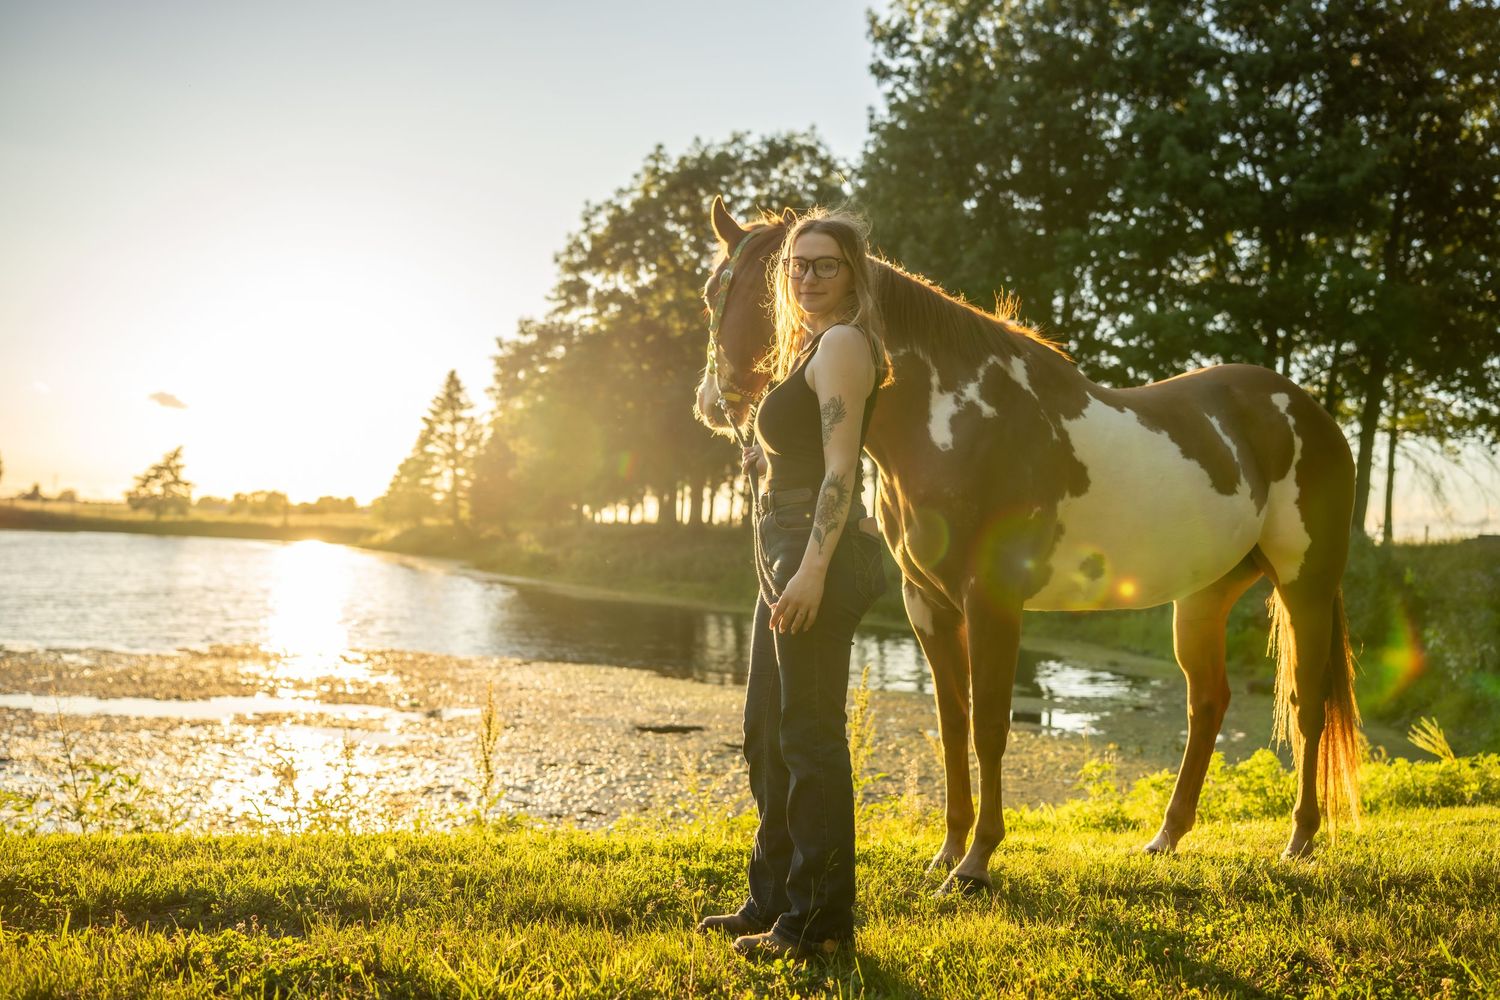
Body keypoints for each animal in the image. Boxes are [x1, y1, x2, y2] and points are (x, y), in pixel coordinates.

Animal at [694, 198, 1362, 893]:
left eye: (751, 292)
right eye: (712, 291)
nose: (711, 402)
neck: (957, 422)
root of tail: (1309, 412)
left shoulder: (993, 601)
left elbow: (990, 726)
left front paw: (976, 862)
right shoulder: (927, 606)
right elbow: (951, 725)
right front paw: (947, 849)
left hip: (1306, 585)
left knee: (1307, 704)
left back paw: (1299, 840)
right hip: (1202, 597)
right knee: (1207, 703)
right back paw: (1166, 837)